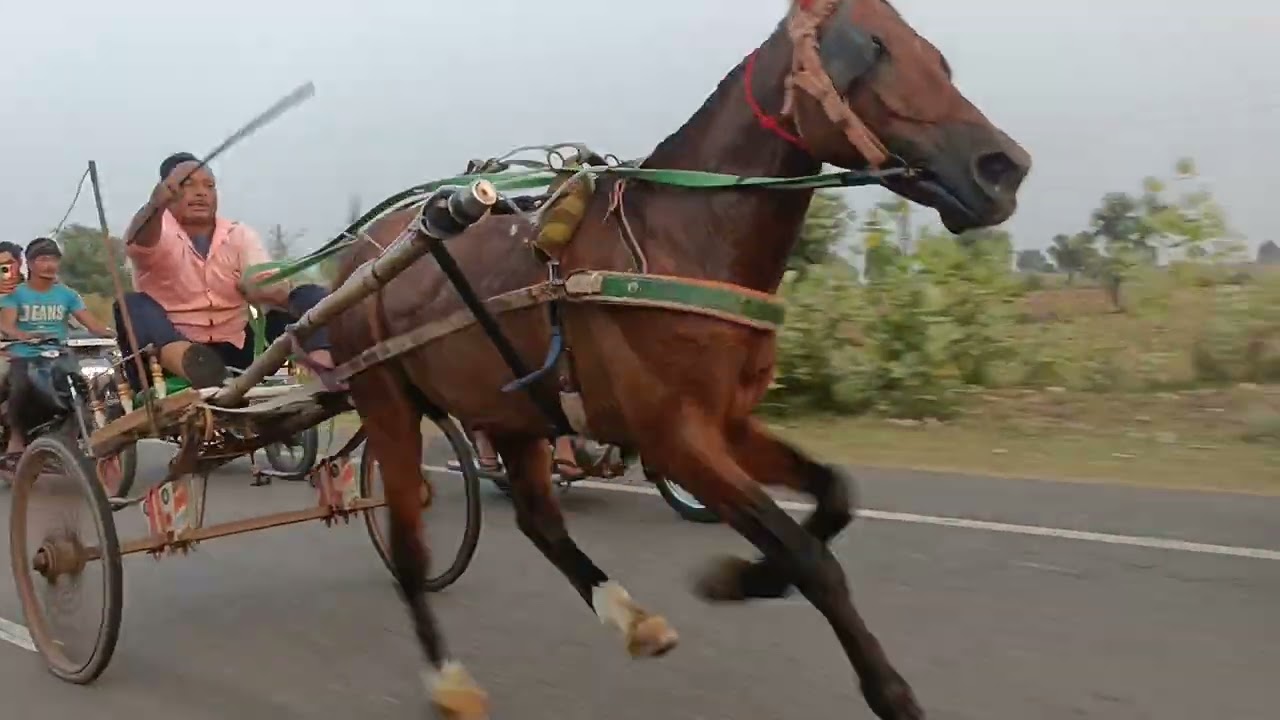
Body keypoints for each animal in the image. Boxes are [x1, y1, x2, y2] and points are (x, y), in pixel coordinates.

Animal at [326, 1, 1030, 718]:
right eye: (871, 47)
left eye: (938, 58)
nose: (1004, 167)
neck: (679, 243)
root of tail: (360, 252)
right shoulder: (675, 438)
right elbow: (809, 556)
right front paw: (887, 689)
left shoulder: (728, 422)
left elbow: (835, 496)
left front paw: (742, 578)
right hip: (386, 399)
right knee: (411, 548)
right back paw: (448, 677)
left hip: (514, 408)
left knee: (539, 520)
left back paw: (631, 619)